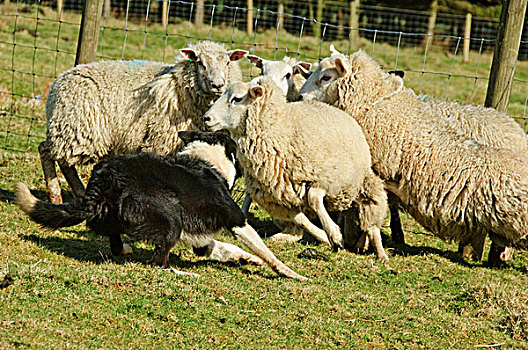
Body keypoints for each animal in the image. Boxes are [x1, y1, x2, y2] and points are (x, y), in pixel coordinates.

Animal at [41, 41, 248, 205]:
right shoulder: (160, 142)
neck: (182, 88)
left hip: (71, 129)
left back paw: (78, 193)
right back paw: (56, 195)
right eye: (200, 63)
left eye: (227, 62)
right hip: (78, 129)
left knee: (61, 160)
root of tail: (56, 85)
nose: (217, 85)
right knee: (47, 151)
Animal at [204, 77, 390, 262]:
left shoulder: (327, 179)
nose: (206, 118)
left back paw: (380, 253)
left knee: (372, 219)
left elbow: (314, 199)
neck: (282, 130)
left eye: (237, 99)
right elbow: (301, 220)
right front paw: (324, 236)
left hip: (362, 184)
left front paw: (335, 235)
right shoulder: (278, 198)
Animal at [300, 50, 528, 258]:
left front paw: (360, 243)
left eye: (326, 77)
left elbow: (367, 208)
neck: (373, 102)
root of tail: (517, 130)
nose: (300, 96)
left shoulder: (372, 171)